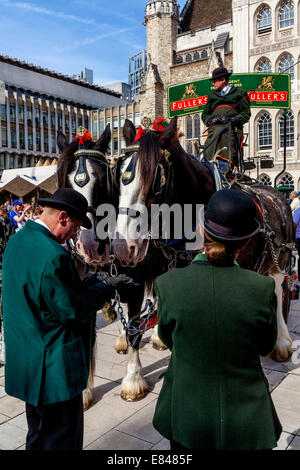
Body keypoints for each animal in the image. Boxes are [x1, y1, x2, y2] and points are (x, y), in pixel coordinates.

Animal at [111, 116, 294, 396]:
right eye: (120, 178)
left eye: (155, 178)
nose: (123, 247)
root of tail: (276, 195)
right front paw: (135, 378)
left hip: (280, 260)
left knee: (278, 289)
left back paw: (282, 341)